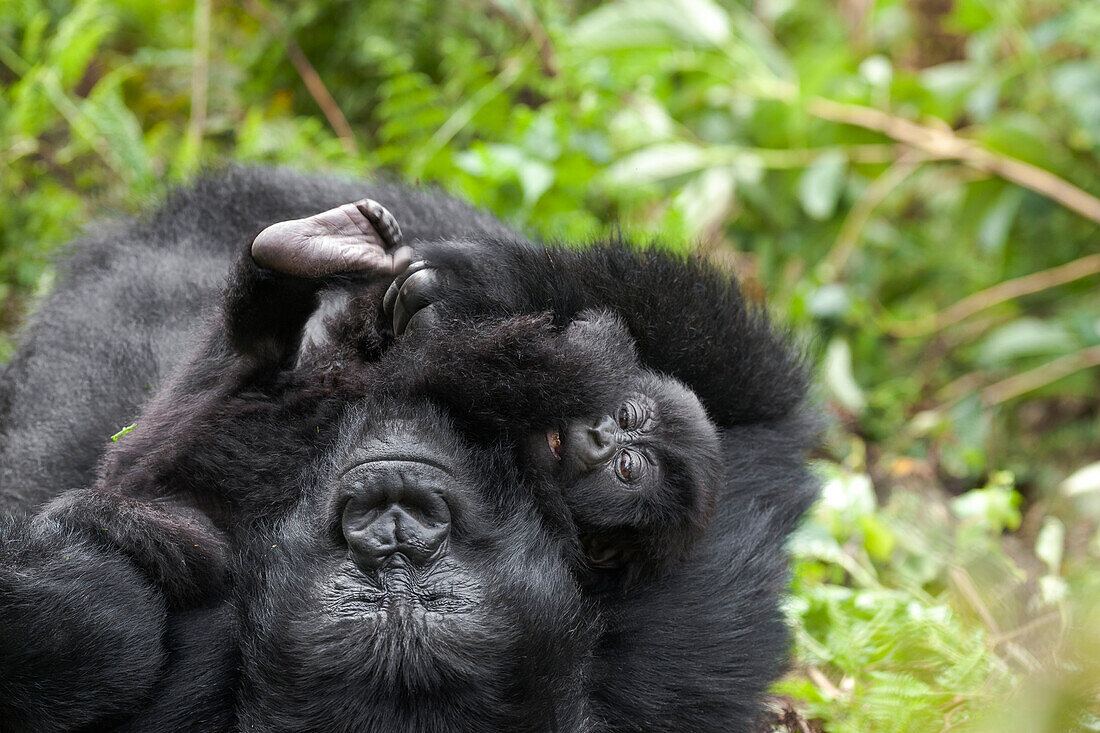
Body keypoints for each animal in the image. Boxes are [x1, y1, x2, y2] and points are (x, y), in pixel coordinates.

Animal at [0, 168, 818, 726]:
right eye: (624, 420)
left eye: (629, 467)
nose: (395, 526)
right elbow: (741, 377)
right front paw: (481, 288)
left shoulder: (680, 656)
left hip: (161, 465)